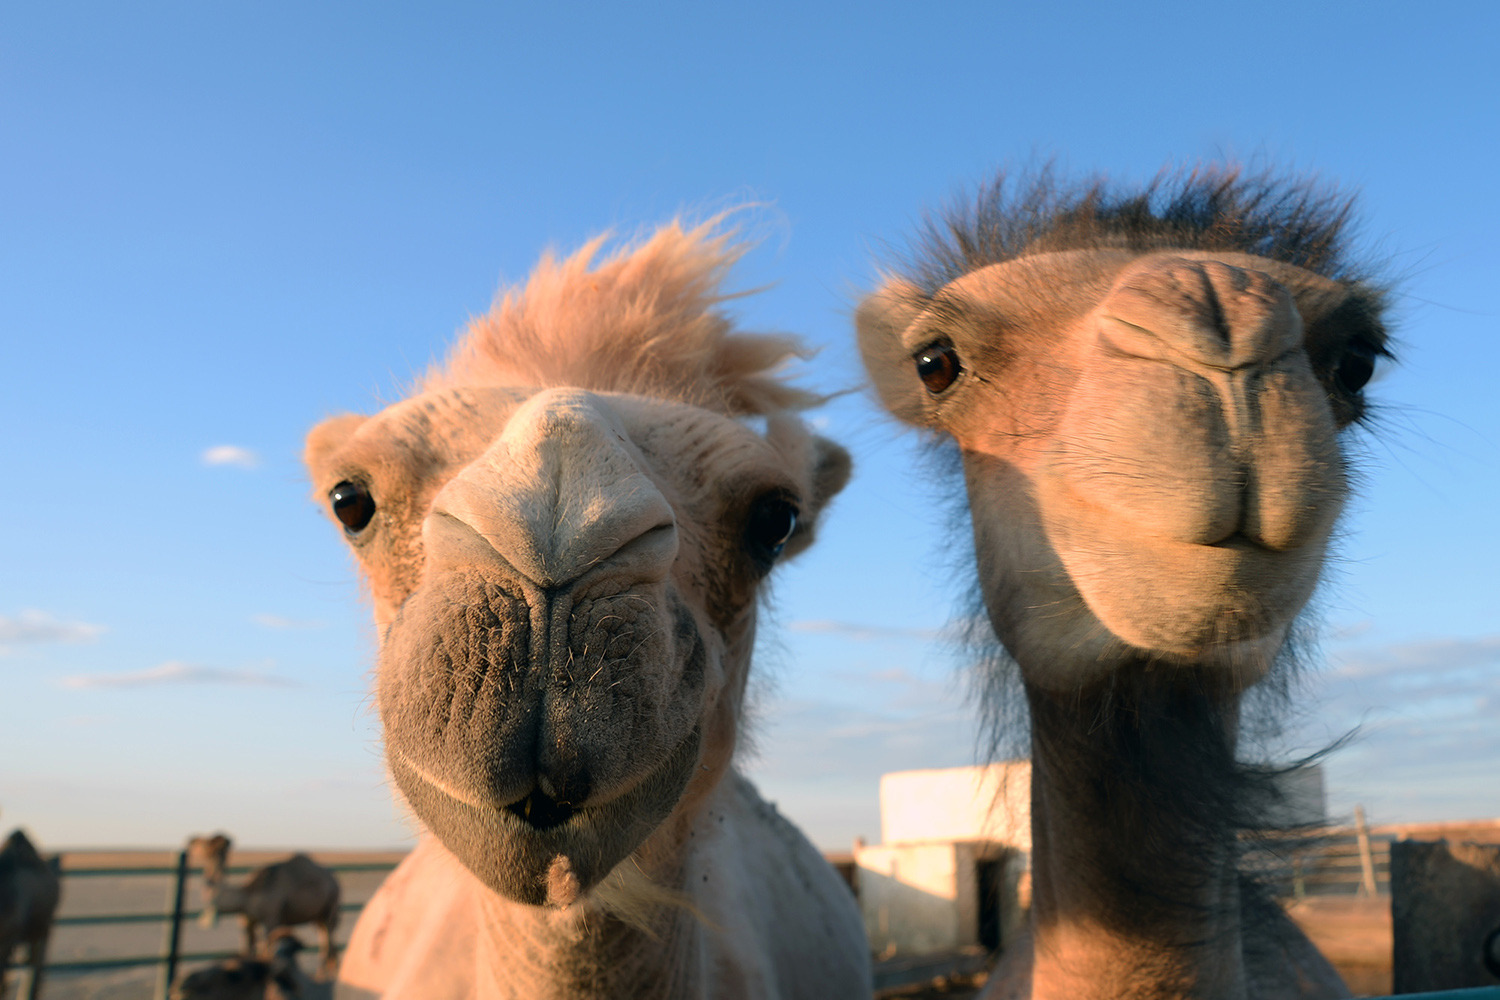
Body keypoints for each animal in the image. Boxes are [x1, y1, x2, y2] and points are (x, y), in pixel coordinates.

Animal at [187, 839, 343, 977]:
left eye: (213, 844)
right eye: (204, 844)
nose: (203, 850)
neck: (247, 894)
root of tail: (333, 878)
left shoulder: (271, 919)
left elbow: (266, 949)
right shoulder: (247, 920)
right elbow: (248, 949)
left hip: (331, 904)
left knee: (328, 935)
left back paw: (322, 972)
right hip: (317, 915)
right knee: (324, 934)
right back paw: (331, 968)